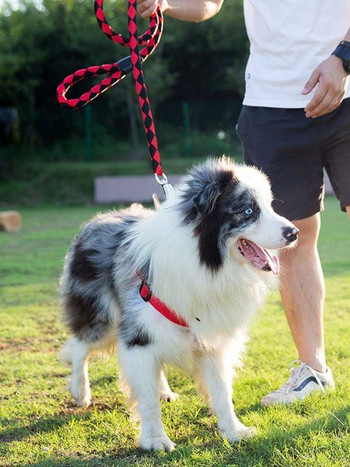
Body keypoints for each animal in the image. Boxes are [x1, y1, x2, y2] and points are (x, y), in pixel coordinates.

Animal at [60, 159, 298, 452]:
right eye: (248, 210)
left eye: (271, 205)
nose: (294, 233)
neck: (207, 260)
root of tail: (95, 220)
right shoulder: (138, 333)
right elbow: (147, 397)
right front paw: (154, 440)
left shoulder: (211, 337)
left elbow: (221, 390)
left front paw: (233, 431)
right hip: (101, 315)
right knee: (80, 345)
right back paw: (80, 390)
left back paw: (163, 390)